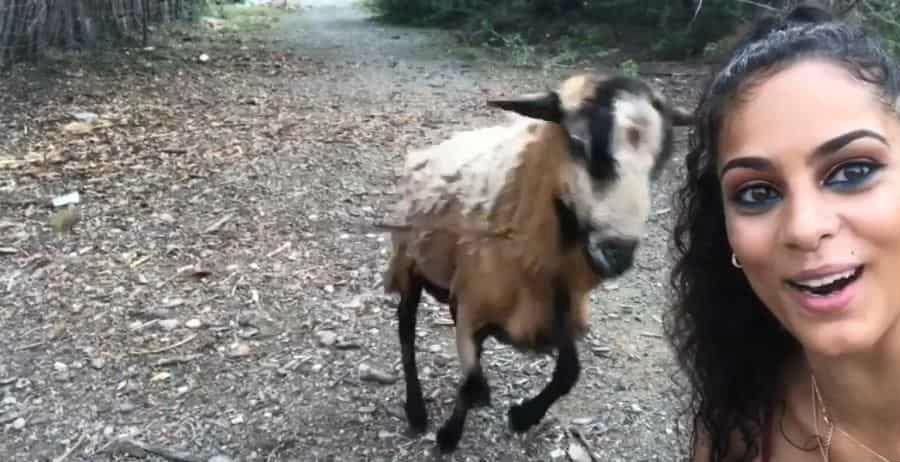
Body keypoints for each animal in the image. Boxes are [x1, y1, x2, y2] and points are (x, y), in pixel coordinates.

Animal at [380, 72, 693, 453]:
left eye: (660, 161)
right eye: (578, 142)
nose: (618, 253)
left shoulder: (554, 306)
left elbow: (569, 372)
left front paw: (523, 416)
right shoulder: (479, 301)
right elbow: (473, 383)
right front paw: (449, 435)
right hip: (409, 263)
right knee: (406, 330)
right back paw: (416, 410)